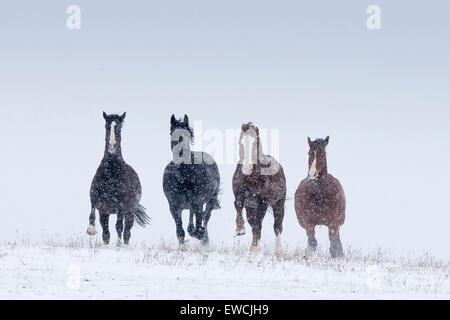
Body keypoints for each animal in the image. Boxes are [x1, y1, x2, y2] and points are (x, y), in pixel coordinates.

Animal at [87, 111, 150, 246]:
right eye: (107, 127)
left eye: (119, 128)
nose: (112, 146)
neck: (110, 172)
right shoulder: (97, 201)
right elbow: (92, 211)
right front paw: (91, 230)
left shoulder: (121, 205)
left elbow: (119, 226)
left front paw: (118, 244)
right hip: (105, 213)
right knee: (106, 232)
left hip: (130, 213)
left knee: (127, 232)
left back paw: (123, 244)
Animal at [163, 114, 221, 245]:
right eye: (173, 133)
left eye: (188, 135)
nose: (181, 152)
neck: (183, 176)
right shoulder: (174, 207)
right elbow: (180, 232)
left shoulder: (198, 203)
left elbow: (199, 226)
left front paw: (201, 235)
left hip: (209, 200)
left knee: (205, 218)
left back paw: (204, 239)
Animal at [234, 122, 286, 252]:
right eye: (240, 141)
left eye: (255, 143)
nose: (246, 168)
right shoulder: (239, 193)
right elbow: (238, 205)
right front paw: (240, 229)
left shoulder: (263, 201)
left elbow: (257, 224)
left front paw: (254, 247)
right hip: (251, 207)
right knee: (255, 223)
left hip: (278, 204)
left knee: (277, 226)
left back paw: (278, 251)